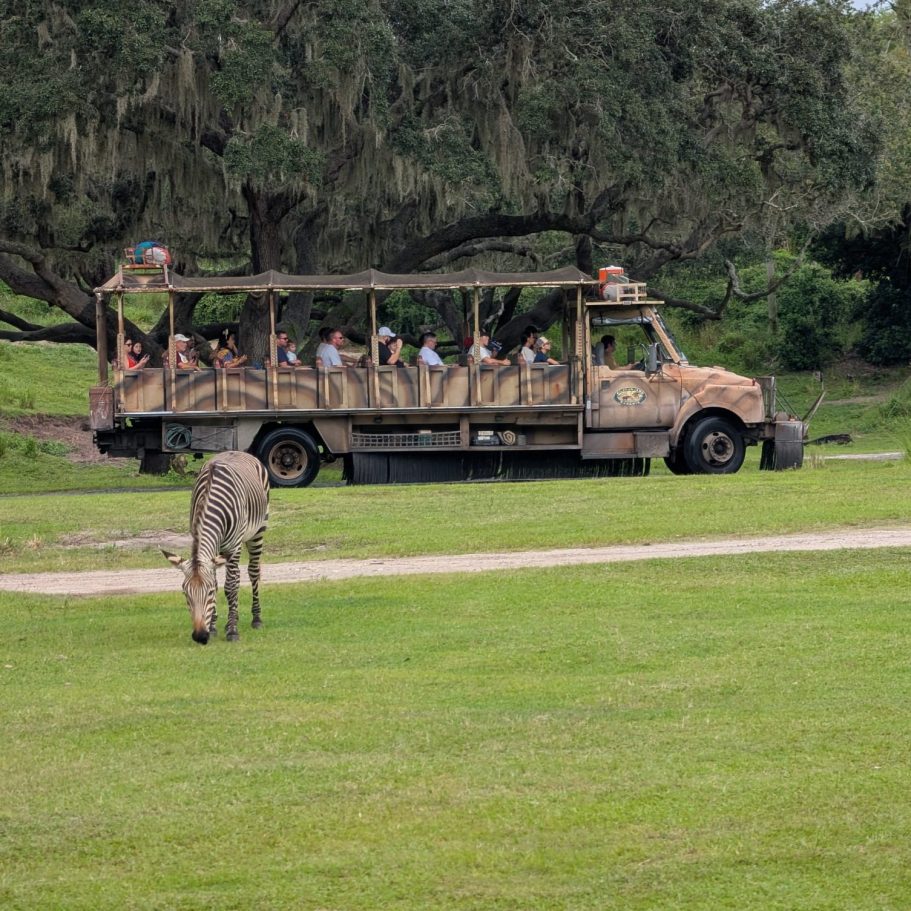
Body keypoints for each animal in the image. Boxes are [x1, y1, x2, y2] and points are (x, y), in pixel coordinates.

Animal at [162, 451, 270, 644]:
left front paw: (233, 630)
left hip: (258, 530)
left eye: (210, 593)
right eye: (185, 594)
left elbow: (230, 586)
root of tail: (238, 451)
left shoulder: (233, 545)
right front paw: (212, 627)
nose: (199, 636)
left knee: (252, 572)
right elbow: (217, 581)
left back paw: (256, 618)